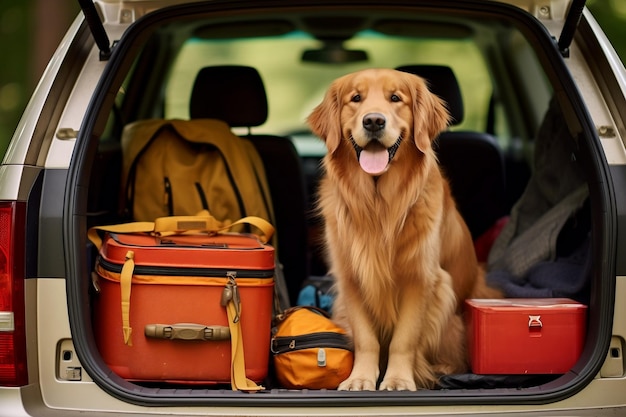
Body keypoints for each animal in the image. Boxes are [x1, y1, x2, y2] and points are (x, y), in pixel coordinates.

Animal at [304, 68, 500, 390]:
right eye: (355, 98)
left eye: (396, 98)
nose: (373, 121)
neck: (379, 204)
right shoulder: (351, 279)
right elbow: (366, 338)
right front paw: (360, 378)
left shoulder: (421, 279)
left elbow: (404, 340)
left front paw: (397, 379)